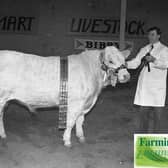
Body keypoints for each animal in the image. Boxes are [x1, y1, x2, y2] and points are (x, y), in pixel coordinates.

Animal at [0, 46, 130, 147]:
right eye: (110, 61)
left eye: (125, 61)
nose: (126, 76)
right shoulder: (75, 102)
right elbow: (71, 122)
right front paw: (67, 140)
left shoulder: (84, 102)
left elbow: (80, 120)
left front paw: (81, 137)